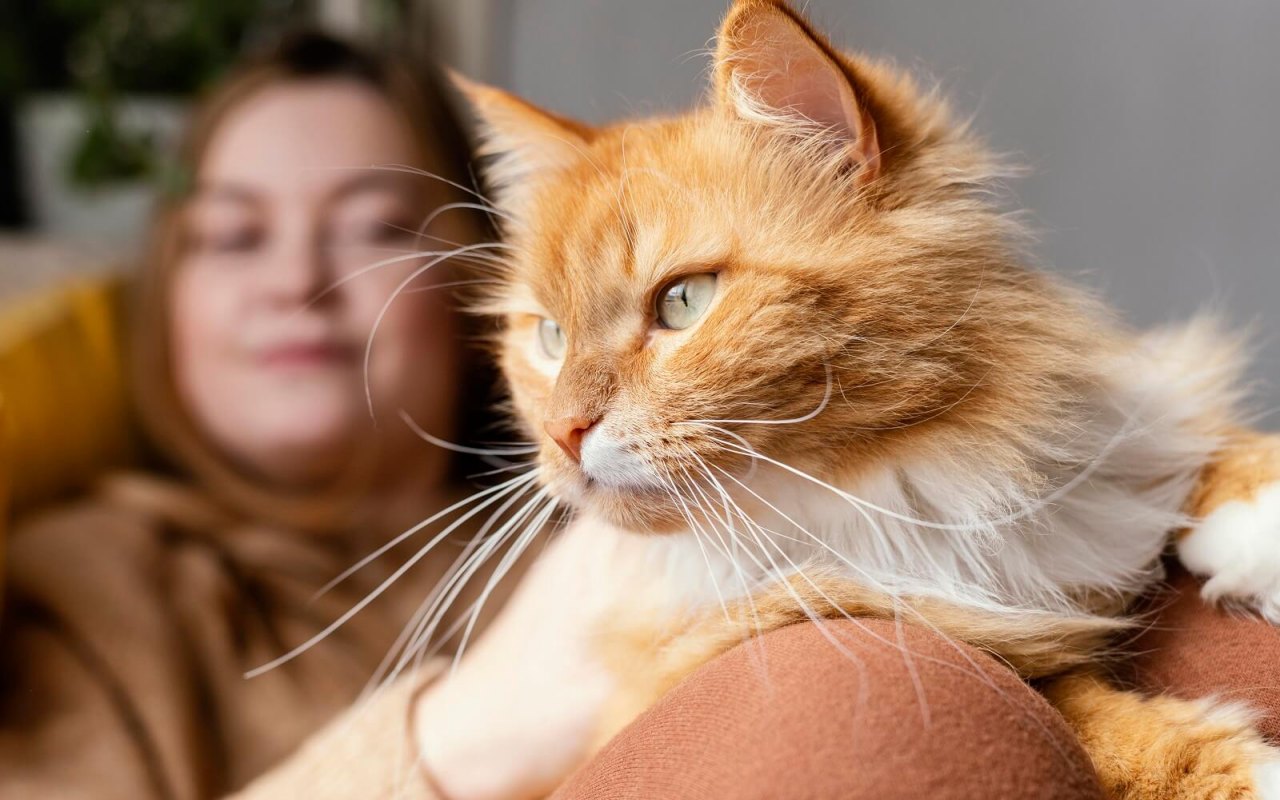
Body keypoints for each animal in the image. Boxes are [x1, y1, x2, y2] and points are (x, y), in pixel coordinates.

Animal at [427, 3, 1280, 793]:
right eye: (550, 337)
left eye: (682, 302)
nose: (565, 433)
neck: (894, 493)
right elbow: (1079, 709)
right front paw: (1243, 769)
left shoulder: (1134, 407)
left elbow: (1198, 436)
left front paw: (1254, 526)